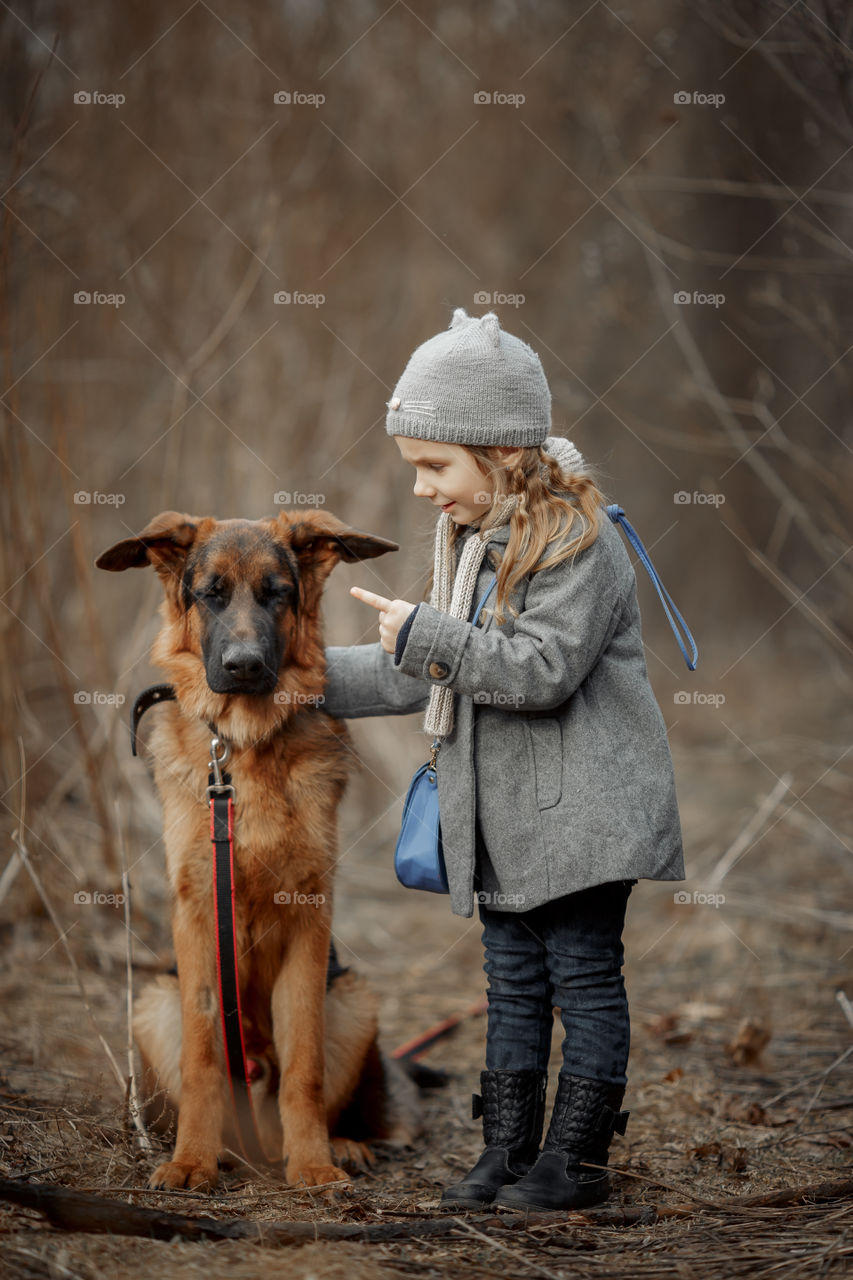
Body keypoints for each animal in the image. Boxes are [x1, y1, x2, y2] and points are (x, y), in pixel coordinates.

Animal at [96, 506, 422, 1187]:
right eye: (211, 594)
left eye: (277, 594)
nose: (244, 666)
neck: (243, 748)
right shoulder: (197, 921)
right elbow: (202, 1059)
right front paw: (191, 1159)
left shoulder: (308, 921)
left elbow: (304, 1065)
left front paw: (314, 1166)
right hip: (156, 1003)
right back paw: (222, 1148)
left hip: (352, 1001)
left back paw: (339, 1144)